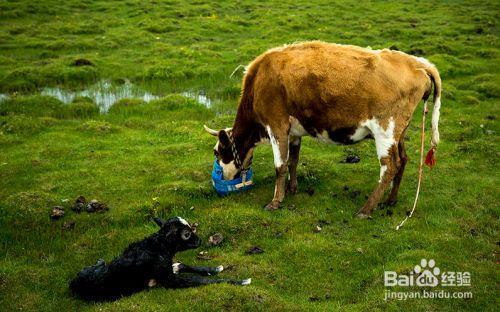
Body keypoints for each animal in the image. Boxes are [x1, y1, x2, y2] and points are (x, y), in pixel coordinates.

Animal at [69, 216, 249, 302]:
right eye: (186, 234)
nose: (199, 240)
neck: (158, 246)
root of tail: (73, 282)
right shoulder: (169, 280)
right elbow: (199, 279)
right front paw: (240, 281)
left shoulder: (169, 269)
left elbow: (184, 264)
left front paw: (215, 268)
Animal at [203, 40, 442, 217]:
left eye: (217, 152)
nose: (220, 178)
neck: (260, 79)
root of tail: (419, 63)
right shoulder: (294, 131)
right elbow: (293, 160)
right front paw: (292, 188)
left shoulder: (277, 125)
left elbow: (280, 166)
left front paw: (276, 201)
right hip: (399, 133)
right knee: (403, 160)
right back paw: (390, 200)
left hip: (385, 131)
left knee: (389, 167)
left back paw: (366, 209)